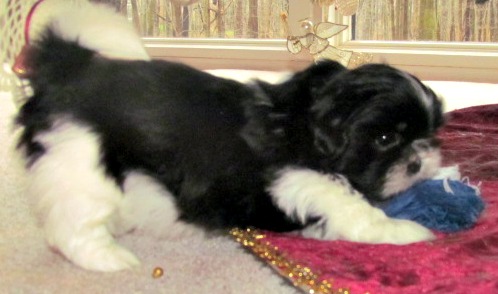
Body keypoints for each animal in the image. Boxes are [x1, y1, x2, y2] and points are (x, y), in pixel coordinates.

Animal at [17, 2, 442, 274]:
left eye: (429, 133)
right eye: (385, 138)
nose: (418, 161)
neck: (303, 123)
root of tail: (67, 71)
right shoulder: (301, 179)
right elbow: (354, 209)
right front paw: (406, 232)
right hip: (82, 160)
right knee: (72, 222)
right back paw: (108, 259)